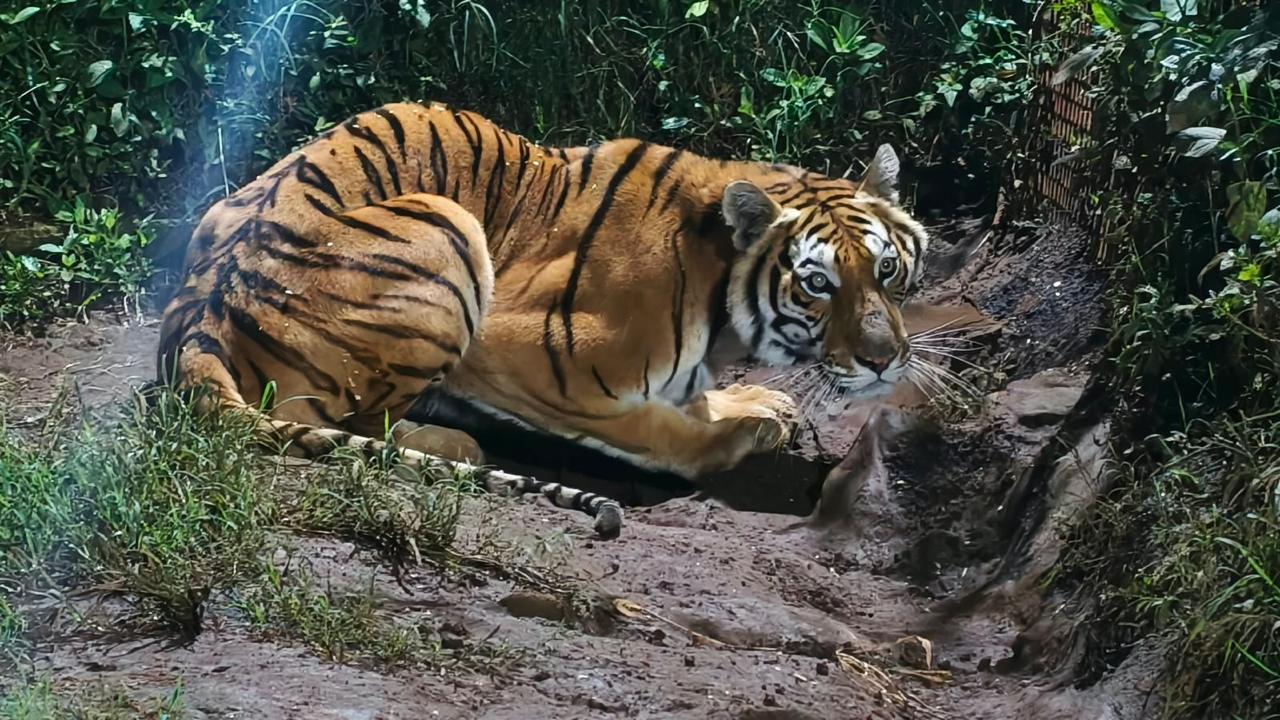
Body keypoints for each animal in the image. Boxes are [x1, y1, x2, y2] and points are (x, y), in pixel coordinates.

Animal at [157, 101, 930, 539]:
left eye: (887, 269)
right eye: (818, 284)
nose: (884, 359)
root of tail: (197, 326)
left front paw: (755, 401)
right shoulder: (524, 349)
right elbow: (651, 429)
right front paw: (741, 431)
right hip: (447, 226)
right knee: (342, 420)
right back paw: (452, 439)